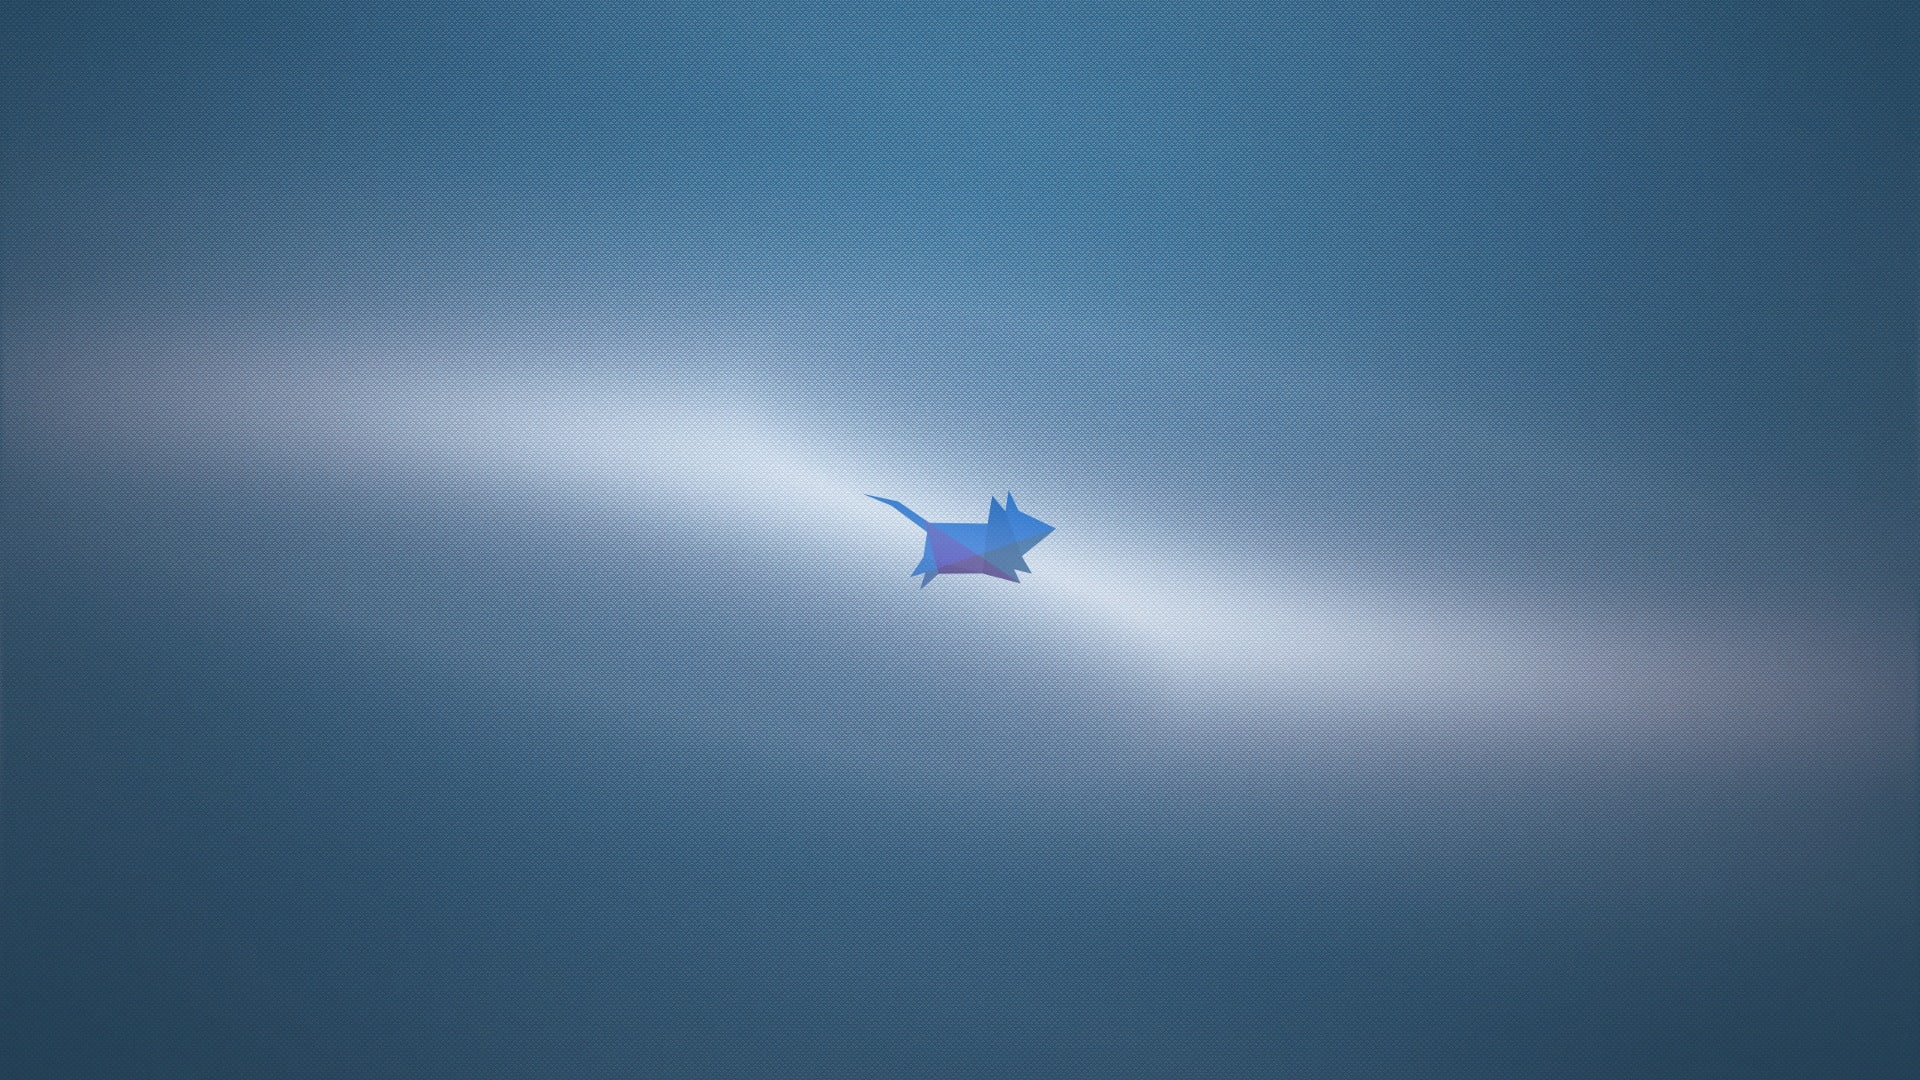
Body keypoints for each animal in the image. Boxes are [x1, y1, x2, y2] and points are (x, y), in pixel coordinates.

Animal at [868, 493, 1055, 587]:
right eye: (1027, 519)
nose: (1050, 527)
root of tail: (930, 525)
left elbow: (1020, 566)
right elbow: (1010, 571)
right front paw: (1016, 577)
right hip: (931, 558)